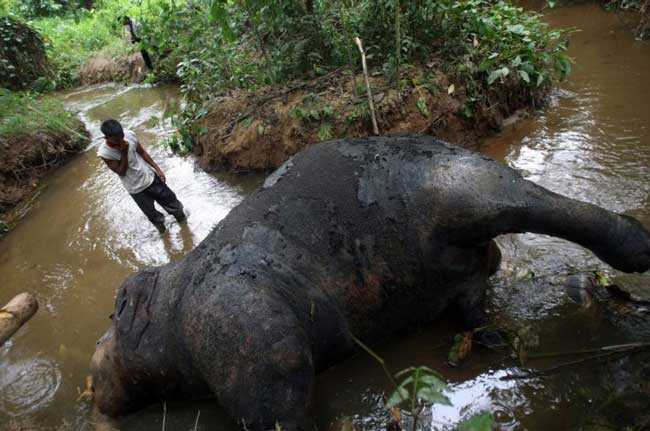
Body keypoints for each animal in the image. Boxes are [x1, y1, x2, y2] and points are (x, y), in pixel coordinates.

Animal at [90, 135, 648, 428]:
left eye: (115, 312)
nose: (94, 359)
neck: (176, 303)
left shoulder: (237, 321)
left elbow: (278, 391)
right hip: (462, 260)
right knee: (474, 290)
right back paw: (498, 328)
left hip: (461, 181)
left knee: (526, 202)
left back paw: (637, 247)